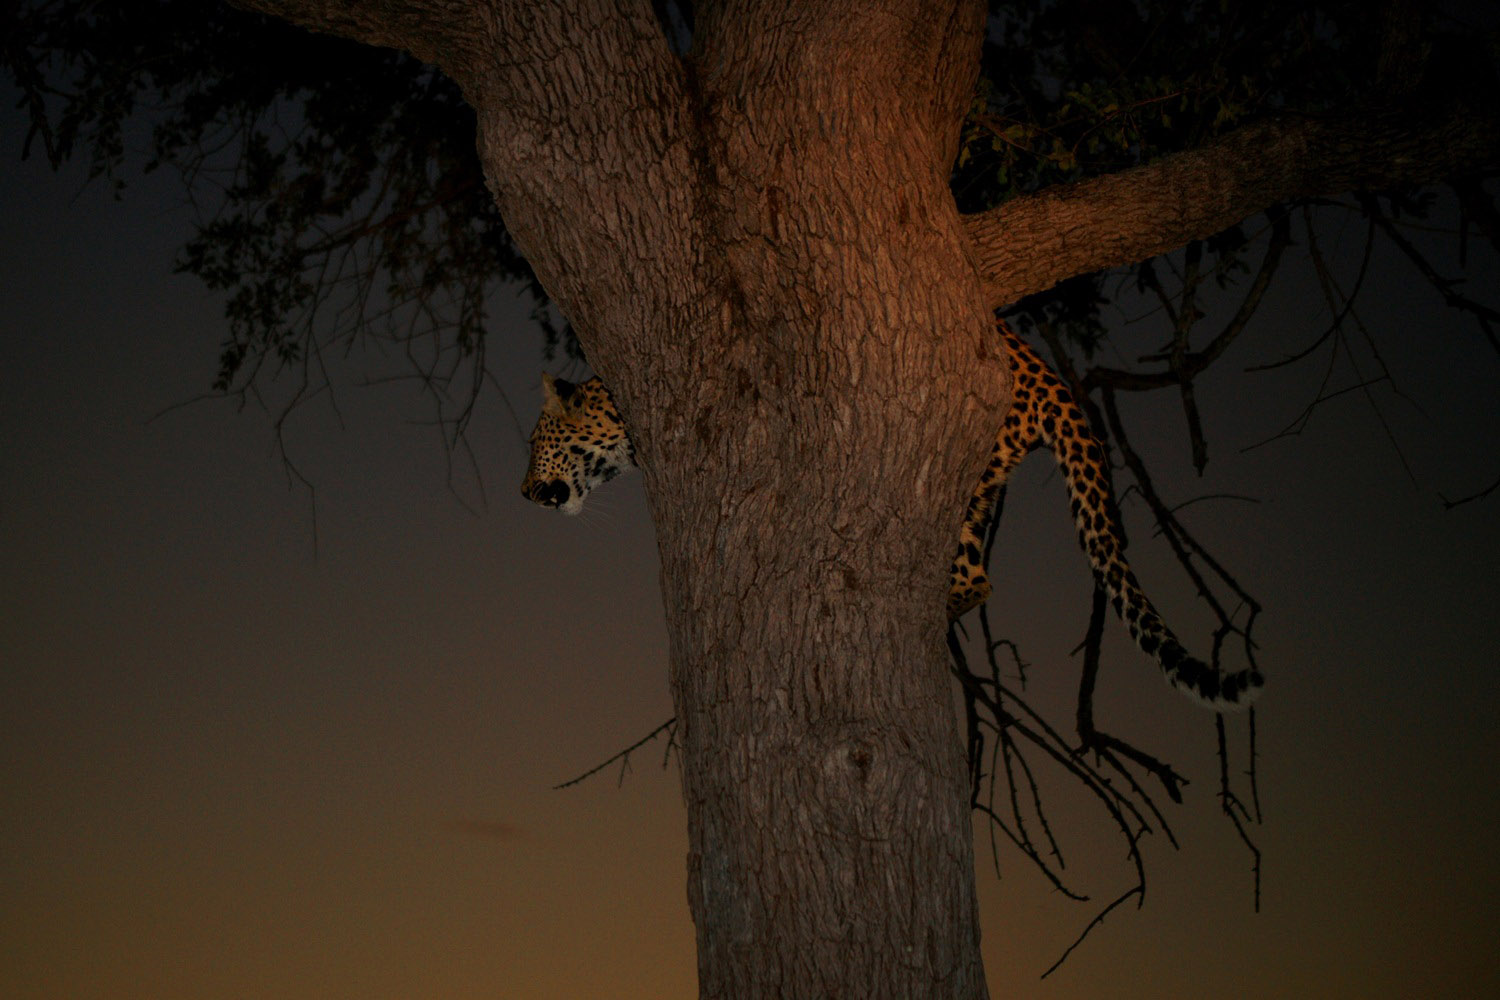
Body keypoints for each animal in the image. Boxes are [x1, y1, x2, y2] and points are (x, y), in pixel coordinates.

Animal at [521, 320, 1263, 708]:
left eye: (533, 444)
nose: (523, 492)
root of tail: (1046, 374)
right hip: (980, 487)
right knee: (977, 572)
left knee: (971, 575)